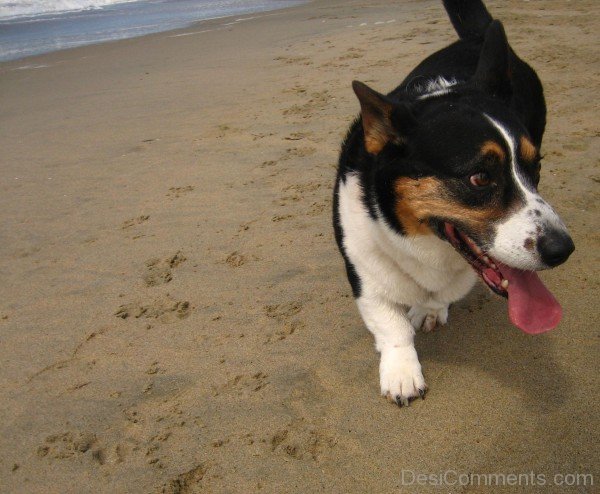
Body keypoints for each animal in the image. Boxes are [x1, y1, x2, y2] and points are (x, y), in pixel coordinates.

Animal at [336, 0, 576, 406]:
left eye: (535, 166)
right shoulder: (362, 264)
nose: (563, 250)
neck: (424, 244)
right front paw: (401, 374)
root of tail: (479, 36)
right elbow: (389, 322)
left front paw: (430, 311)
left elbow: (441, 295)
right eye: (479, 178)